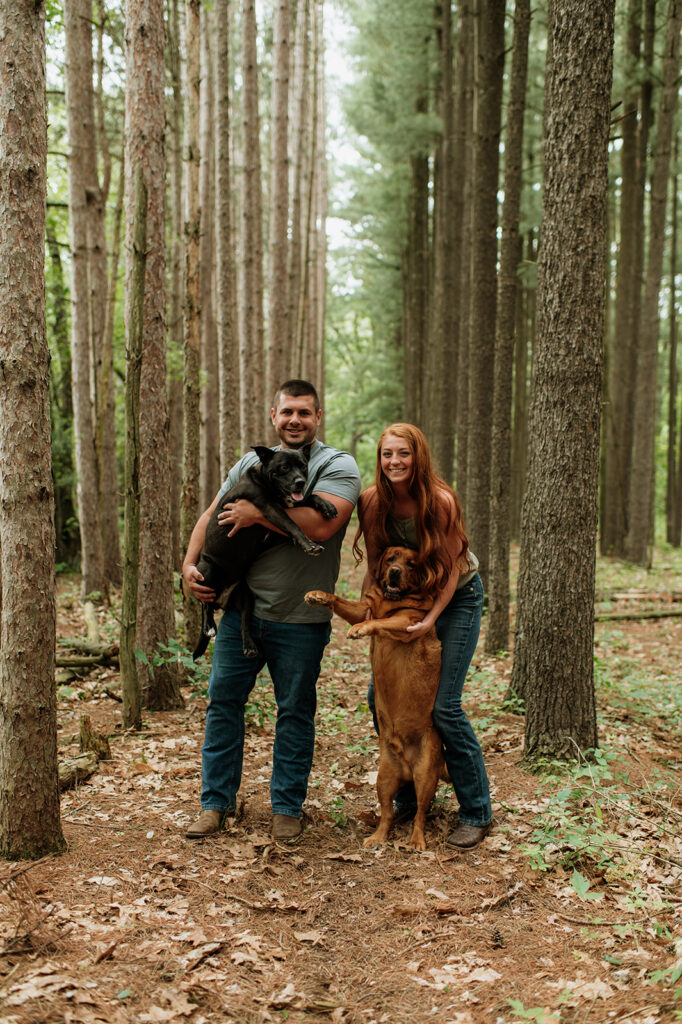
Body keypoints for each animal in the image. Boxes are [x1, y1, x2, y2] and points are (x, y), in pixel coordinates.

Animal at [191, 444, 333, 659]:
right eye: (284, 467)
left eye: (303, 465)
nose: (300, 482)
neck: (267, 482)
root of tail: (221, 600)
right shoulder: (270, 509)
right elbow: (293, 525)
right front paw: (309, 545)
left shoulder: (288, 506)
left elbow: (309, 497)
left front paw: (325, 505)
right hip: (206, 571)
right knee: (204, 604)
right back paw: (209, 626)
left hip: (247, 598)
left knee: (244, 623)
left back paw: (249, 646)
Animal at [305, 548, 444, 851]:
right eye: (392, 558)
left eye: (411, 564)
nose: (395, 572)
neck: (391, 599)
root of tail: (406, 766)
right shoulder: (362, 607)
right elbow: (343, 602)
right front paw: (318, 595)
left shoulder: (407, 623)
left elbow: (379, 622)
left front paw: (361, 629)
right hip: (384, 778)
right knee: (388, 814)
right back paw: (377, 837)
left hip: (426, 776)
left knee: (420, 814)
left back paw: (417, 841)